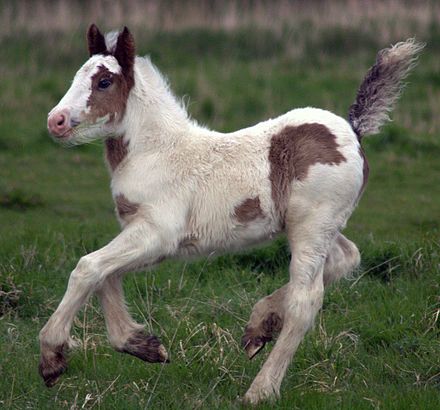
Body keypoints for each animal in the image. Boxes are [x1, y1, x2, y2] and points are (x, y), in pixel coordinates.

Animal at [40, 24, 422, 404]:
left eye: (104, 82)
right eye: (77, 75)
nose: (55, 121)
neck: (157, 152)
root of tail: (353, 129)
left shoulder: (157, 233)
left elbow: (88, 268)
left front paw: (52, 357)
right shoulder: (144, 236)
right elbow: (106, 275)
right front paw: (142, 344)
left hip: (312, 225)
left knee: (306, 301)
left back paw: (261, 390)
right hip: (316, 225)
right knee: (346, 257)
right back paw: (260, 325)